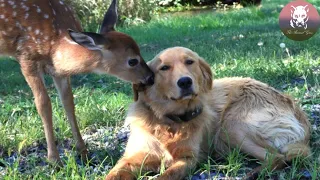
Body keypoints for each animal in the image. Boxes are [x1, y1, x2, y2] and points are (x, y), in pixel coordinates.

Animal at [105, 46, 310, 180]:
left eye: (190, 62)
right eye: (164, 68)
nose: (185, 81)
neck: (169, 121)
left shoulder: (188, 159)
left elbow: (167, 175)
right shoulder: (131, 159)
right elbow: (113, 174)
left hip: (231, 126)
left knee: (277, 157)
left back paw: (254, 173)